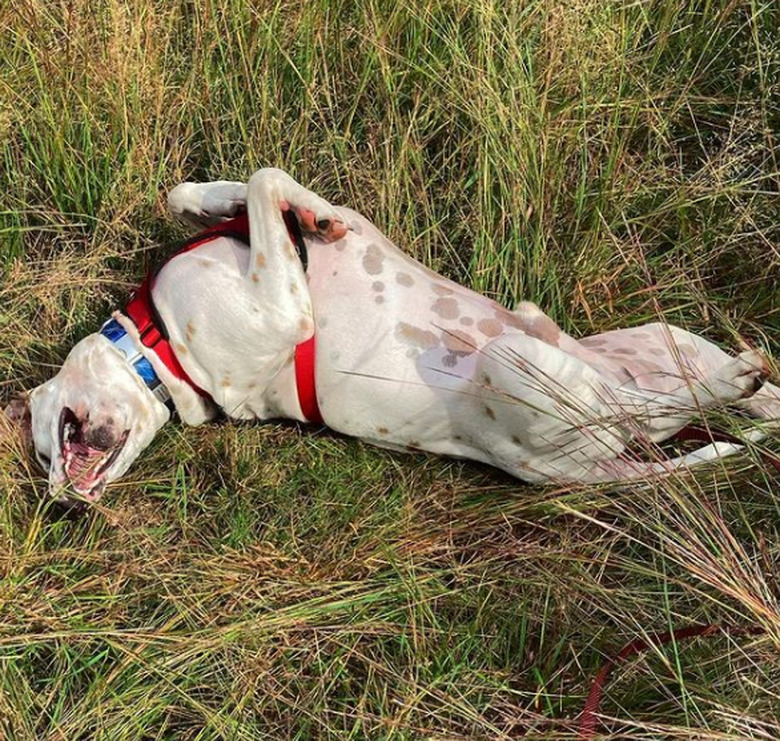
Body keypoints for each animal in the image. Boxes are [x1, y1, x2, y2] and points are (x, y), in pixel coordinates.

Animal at [4, 168, 772, 502]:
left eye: (43, 445)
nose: (59, 494)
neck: (154, 342)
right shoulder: (283, 311)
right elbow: (262, 179)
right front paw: (303, 214)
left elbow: (223, 187)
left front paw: (309, 214)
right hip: (522, 370)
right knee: (660, 411)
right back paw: (737, 376)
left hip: (661, 339)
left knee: (707, 405)